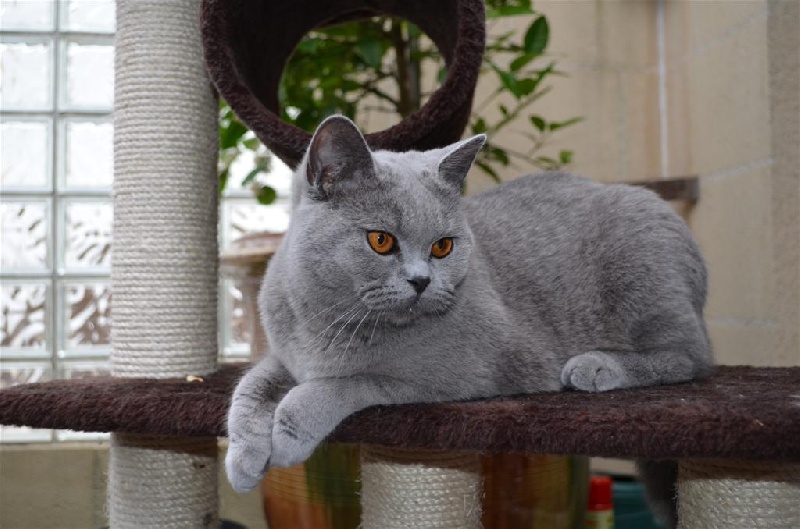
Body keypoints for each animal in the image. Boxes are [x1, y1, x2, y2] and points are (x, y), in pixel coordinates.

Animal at [225, 113, 712, 520]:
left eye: (443, 246)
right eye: (381, 241)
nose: (421, 281)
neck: (328, 320)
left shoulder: (453, 373)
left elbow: (347, 382)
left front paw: (288, 435)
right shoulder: (284, 355)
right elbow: (249, 387)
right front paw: (244, 459)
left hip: (645, 281)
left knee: (693, 358)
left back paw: (595, 366)